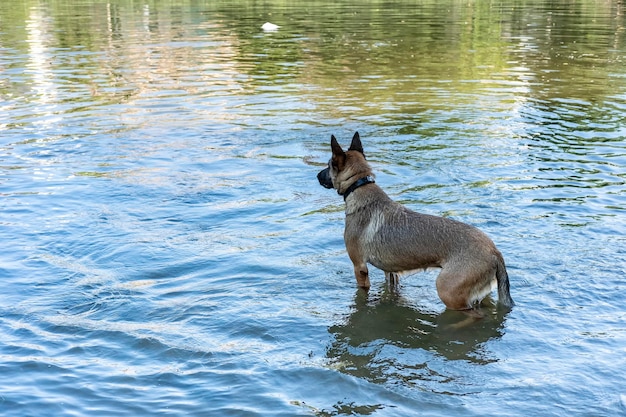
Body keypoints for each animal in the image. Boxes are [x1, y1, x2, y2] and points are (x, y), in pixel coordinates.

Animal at [314, 132, 516, 310]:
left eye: (328, 165)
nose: (316, 176)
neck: (359, 186)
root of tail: (495, 252)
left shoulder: (359, 267)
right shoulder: (391, 272)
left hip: (448, 291)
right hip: (478, 294)